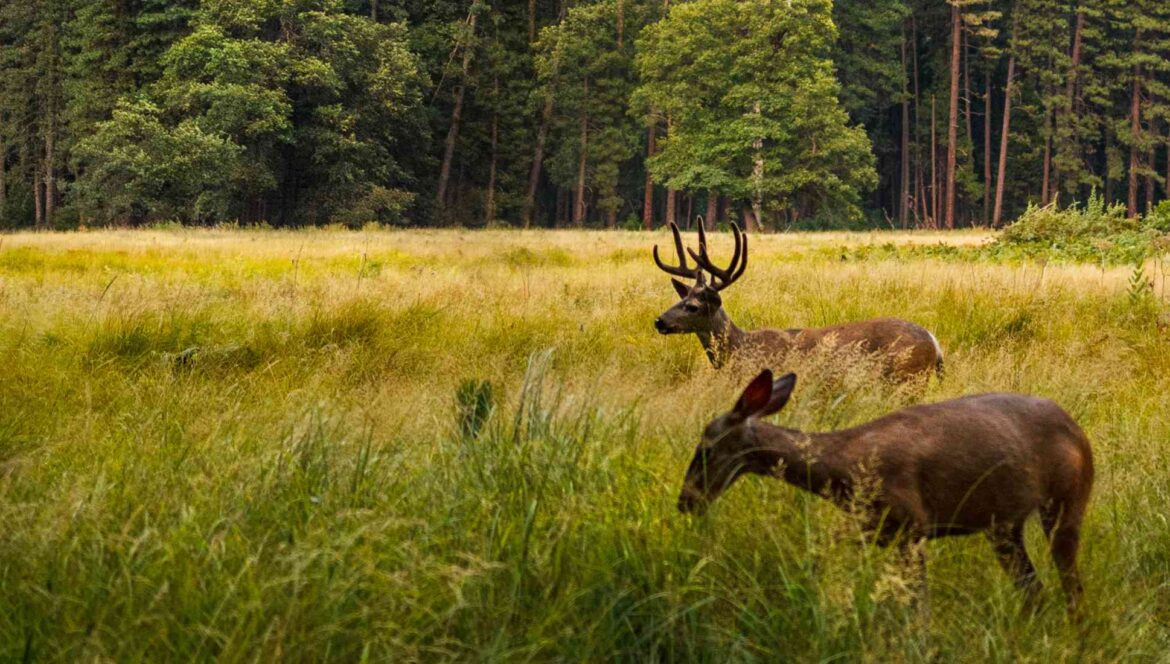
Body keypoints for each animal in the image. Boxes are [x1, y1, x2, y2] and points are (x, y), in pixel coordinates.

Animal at [655, 222, 945, 381]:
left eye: (693, 307)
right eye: (680, 299)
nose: (659, 321)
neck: (741, 349)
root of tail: (934, 342)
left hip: (908, 378)